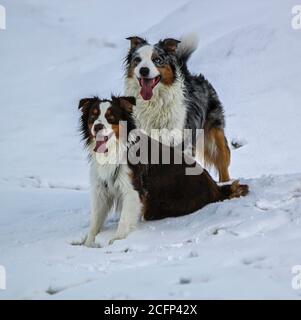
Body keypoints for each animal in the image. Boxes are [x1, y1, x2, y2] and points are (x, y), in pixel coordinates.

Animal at [124, 35, 230, 182]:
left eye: (157, 60)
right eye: (137, 60)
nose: (143, 70)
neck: (153, 103)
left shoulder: (179, 141)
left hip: (214, 135)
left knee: (222, 162)